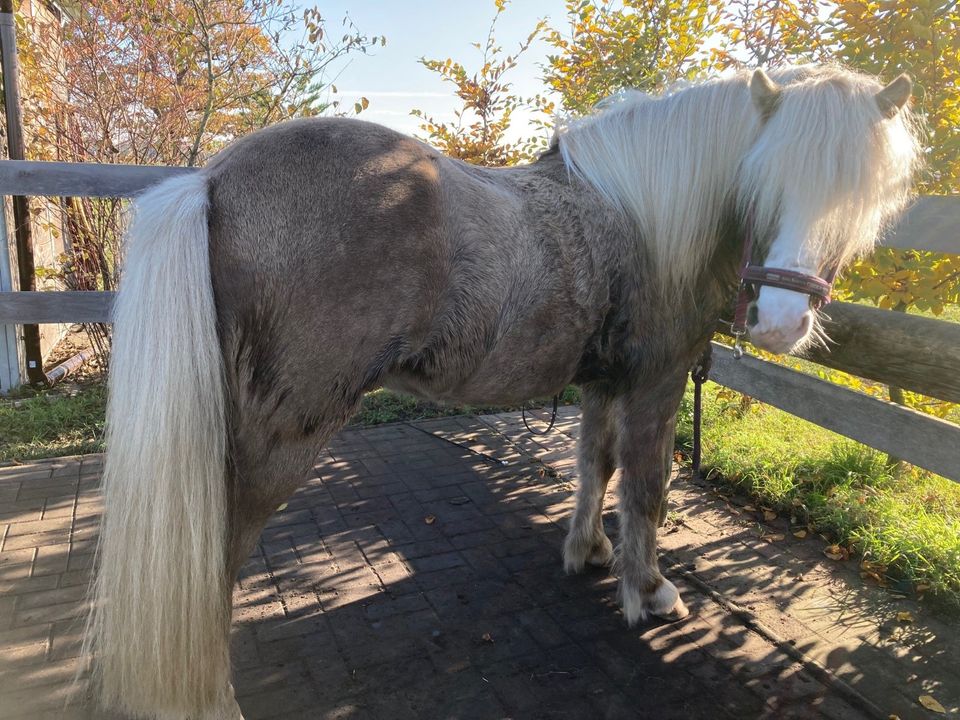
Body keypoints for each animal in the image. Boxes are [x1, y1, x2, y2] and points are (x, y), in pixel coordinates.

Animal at [86, 64, 920, 716]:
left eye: (858, 196)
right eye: (762, 179)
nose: (780, 323)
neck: (650, 214)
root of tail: (212, 180)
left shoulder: (602, 383)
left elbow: (594, 466)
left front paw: (586, 550)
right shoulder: (656, 382)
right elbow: (646, 487)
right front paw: (649, 589)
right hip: (272, 447)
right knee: (211, 568)